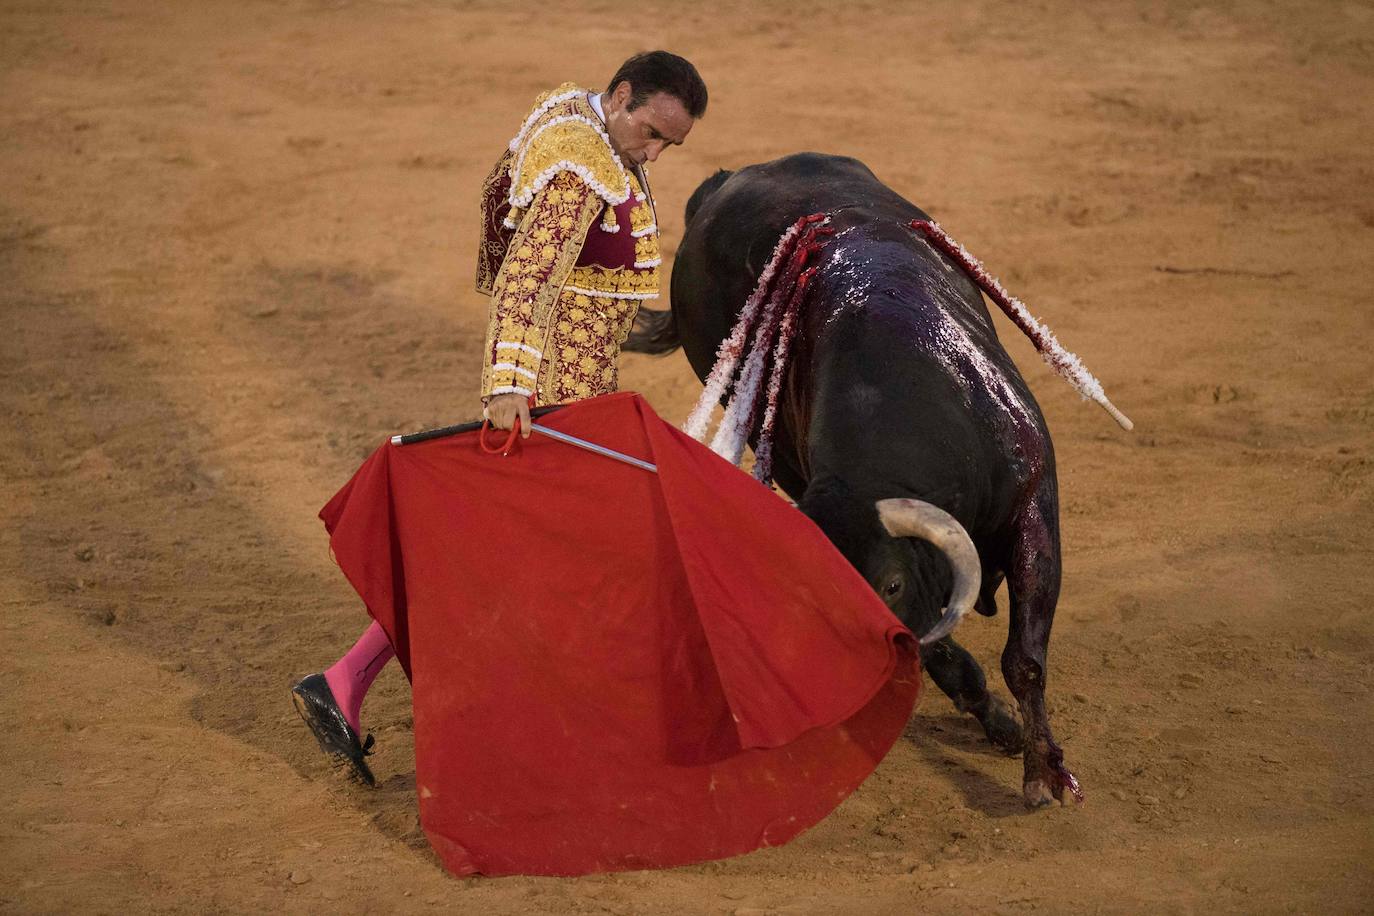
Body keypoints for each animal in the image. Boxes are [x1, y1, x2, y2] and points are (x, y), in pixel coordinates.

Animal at [623, 153, 1082, 807]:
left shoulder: (1033, 505)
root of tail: (725, 184)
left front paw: (1044, 772)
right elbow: (944, 650)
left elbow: (1025, 658)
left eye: (888, 585)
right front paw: (1001, 724)